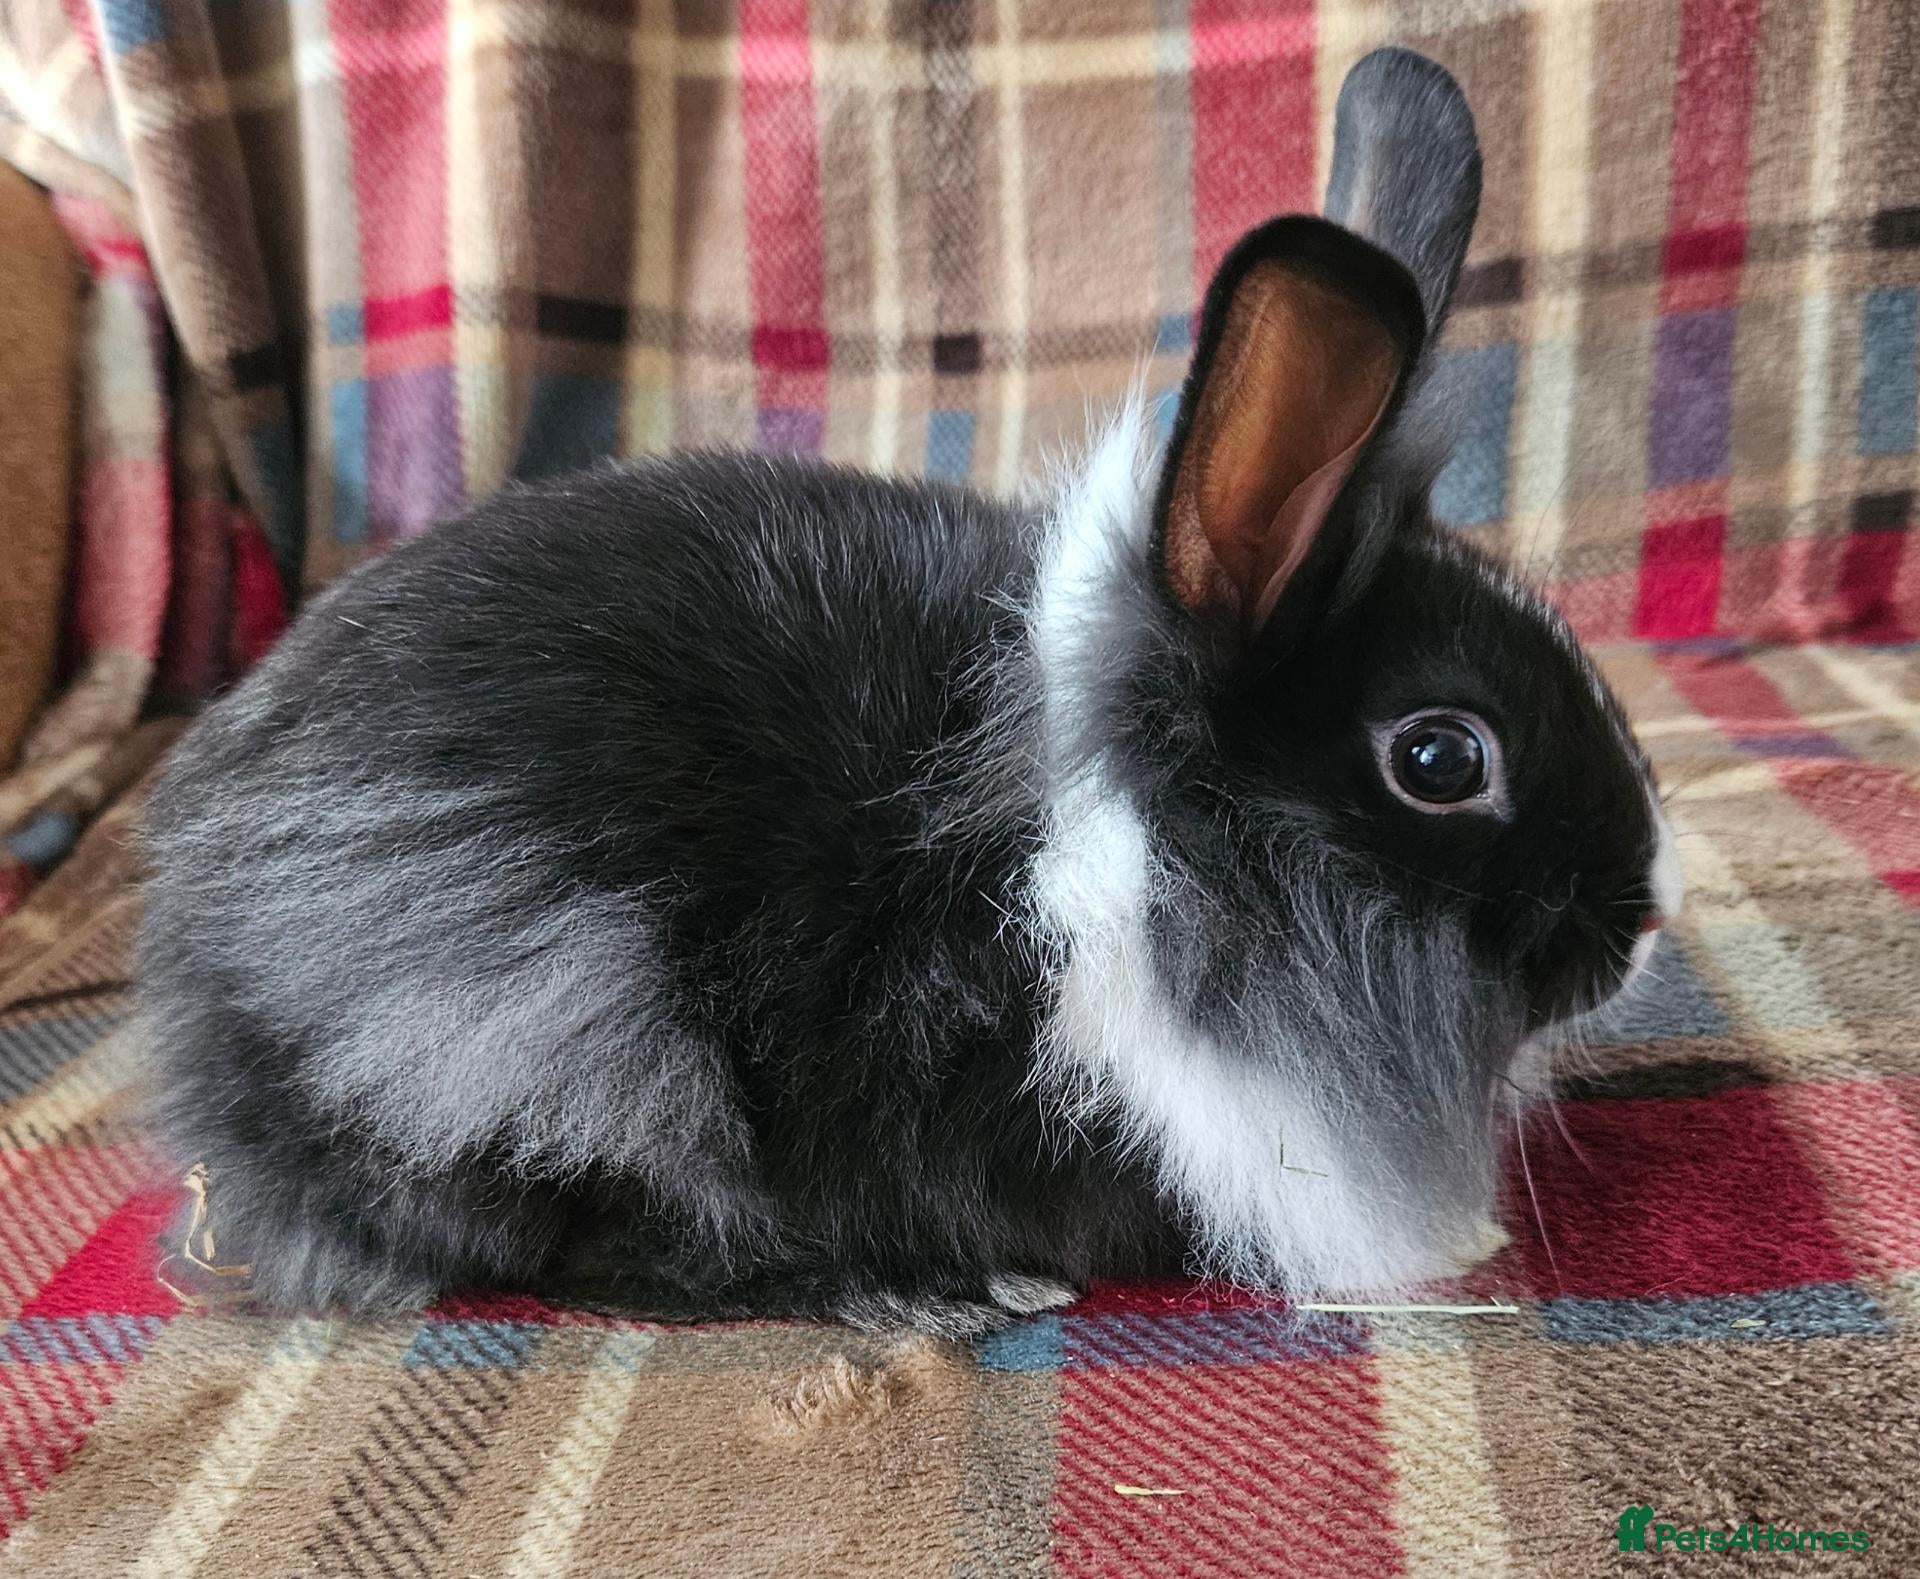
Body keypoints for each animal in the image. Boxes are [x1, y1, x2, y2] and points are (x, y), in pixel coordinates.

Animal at [137, 47, 1682, 1336]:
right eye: (1440, 759)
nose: (1643, 924)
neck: (1102, 850)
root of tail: (205, 1006)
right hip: (544, 1015)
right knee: (579, 1239)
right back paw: (917, 1288)